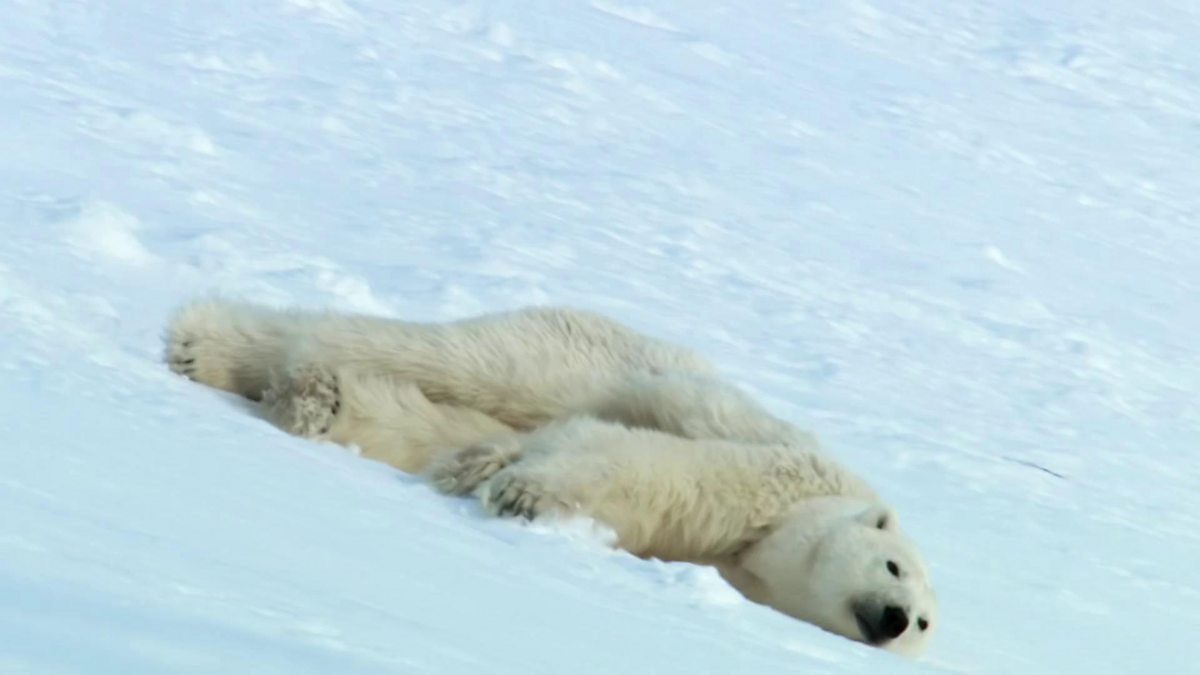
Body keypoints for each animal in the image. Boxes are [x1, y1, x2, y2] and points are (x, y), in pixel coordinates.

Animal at [166, 297, 936, 653]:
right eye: (893, 565)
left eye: (925, 622)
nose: (896, 619)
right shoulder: (779, 482)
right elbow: (668, 471)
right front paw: (526, 493)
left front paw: (506, 480)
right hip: (571, 356)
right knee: (443, 358)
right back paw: (208, 346)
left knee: (426, 418)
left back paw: (319, 400)